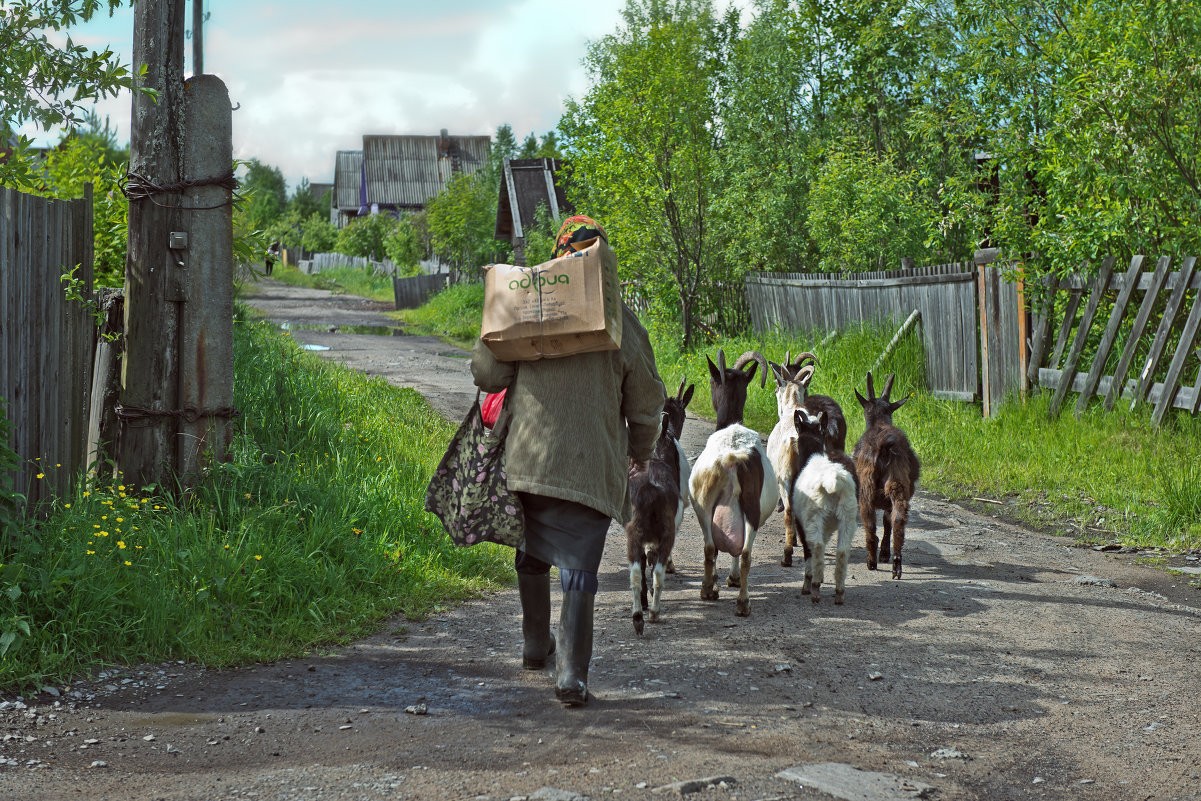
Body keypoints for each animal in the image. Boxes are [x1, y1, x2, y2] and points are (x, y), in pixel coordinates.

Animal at [686, 348, 778, 619]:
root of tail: (732, 459)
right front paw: (731, 579)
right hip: (750, 507)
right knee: (743, 551)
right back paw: (742, 601)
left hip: (704, 504)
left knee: (711, 547)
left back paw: (710, 591)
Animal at [850, 372, 922, 578]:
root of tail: (883, 447)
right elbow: (887, 521)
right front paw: (884, 554)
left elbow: (884, 521)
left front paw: (882, 554)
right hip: (896, 485)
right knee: (897, 519)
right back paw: (896, 565)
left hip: (867, 487)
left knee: (872, 523)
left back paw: (872, 561)